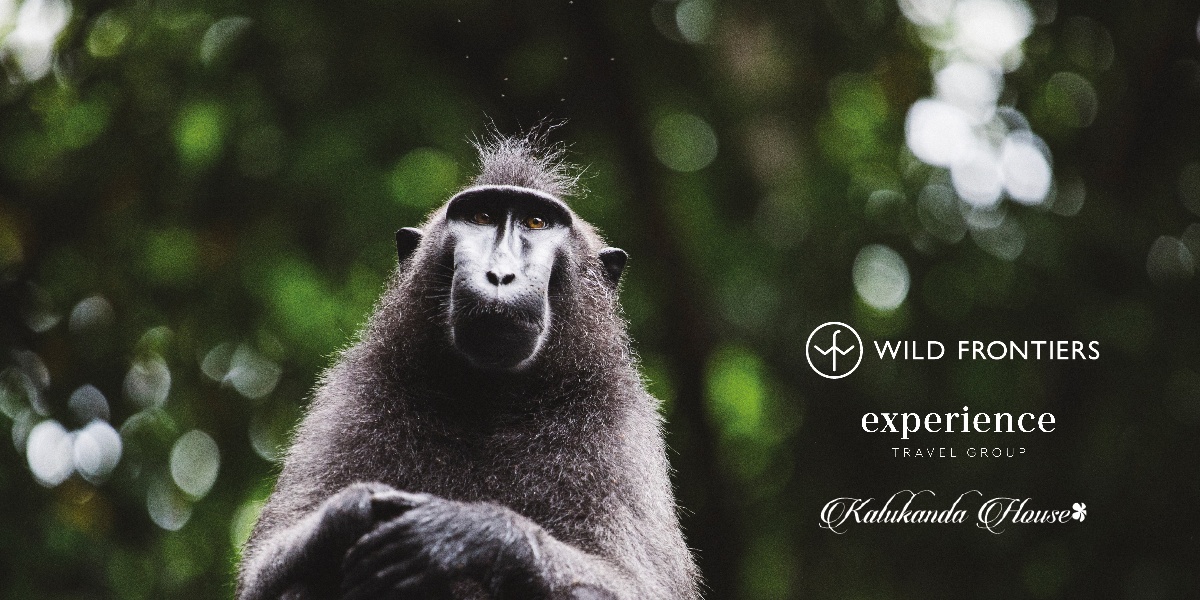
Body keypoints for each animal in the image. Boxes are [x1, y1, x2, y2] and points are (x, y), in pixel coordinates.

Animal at [236, 133, 701, 600]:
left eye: (536, 222)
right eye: (481, 217)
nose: (500, 274)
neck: (488, 400)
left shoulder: (620, 424)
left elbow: (638, 585)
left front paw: (464, 530)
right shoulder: (353, 395)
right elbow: (261, 576)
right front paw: (356, 508)